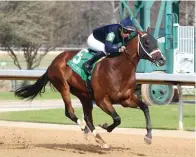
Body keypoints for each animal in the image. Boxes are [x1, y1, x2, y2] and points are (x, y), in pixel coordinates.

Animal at [14, 29, 165, 148]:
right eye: (147, 42)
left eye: (156, 42)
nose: (162, 60)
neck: (118, 69)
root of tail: (53, 63)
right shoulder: (101, 100)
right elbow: (117, 118)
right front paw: (106, 126)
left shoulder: (125, 99)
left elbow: (145, 107)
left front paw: (148, 136)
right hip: (63, 86)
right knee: (70, 112)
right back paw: (84, 128)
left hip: (84, 95)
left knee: (87, 118)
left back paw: (99, 139)